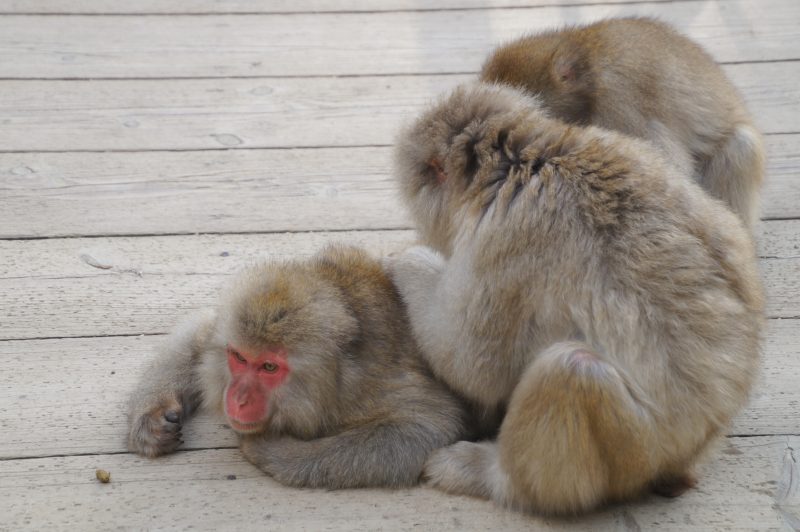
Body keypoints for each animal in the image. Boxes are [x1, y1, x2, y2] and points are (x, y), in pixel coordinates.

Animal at [127, 245, 470, 489]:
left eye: (269, 367)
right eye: (239, 358)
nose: (237, 399)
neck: (340, 375)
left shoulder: (374, 385)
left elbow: (429, 426)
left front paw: (271, 449)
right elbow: (203, 329)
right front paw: (152, 417)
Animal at [386, 82, 764, 514]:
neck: (530, 159)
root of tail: (696, 448)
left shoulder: (508, 235)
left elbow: (472, 363)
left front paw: (408, 260)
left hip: (636, 452)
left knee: (573, 370)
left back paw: (494, 478)